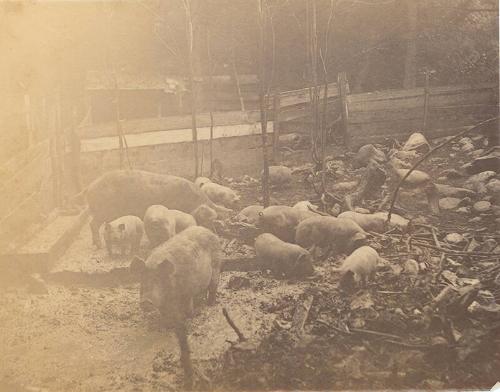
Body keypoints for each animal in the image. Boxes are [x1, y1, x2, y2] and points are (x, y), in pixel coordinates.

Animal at [82, 169, 230, 248]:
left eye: (215, 220)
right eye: (207, 221)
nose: (216, 236)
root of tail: (90, 186)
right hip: (103, 210)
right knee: (93, 224)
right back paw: (99, 245)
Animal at [130, 227, 222, 388]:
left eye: (158, 279)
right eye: (143, 279)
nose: (146, 301)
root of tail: (209, 231)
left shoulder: (187, 292)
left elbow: (187, 309)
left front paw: (189, 317)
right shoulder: (164, 304)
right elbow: (164, 314)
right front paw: (167, 325)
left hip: (217, 268)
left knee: (213, 288)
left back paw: (210, 305)